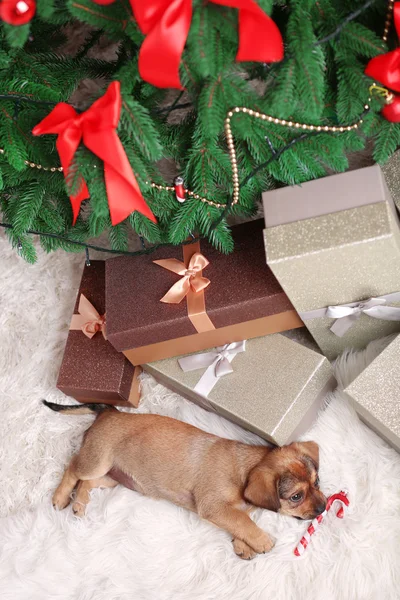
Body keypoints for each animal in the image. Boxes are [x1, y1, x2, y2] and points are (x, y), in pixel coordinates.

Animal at [43, 400, 326, 560]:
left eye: (317, 482)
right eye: (296, 496)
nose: (324, 508)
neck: (244, 470)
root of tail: (110, 412)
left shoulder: (223, 510)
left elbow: (239, 520)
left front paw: (243, 545)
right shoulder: (213, 506)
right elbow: (242, 521)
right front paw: (261, 541)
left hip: (113, 477)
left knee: (86, 482)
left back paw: (79, 503)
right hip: (97, 461)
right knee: (72, 468)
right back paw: (60, 498)